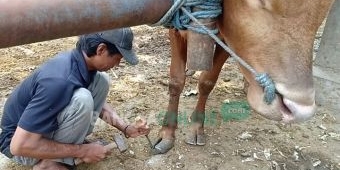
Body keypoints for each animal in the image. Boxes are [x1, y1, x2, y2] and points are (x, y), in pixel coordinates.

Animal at [153, 0, 334, 154]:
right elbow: (176, 81)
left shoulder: (227, 42)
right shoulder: (175, 28)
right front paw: (167, 133)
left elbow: (207, 81)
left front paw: (197, 126)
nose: (301, 110)